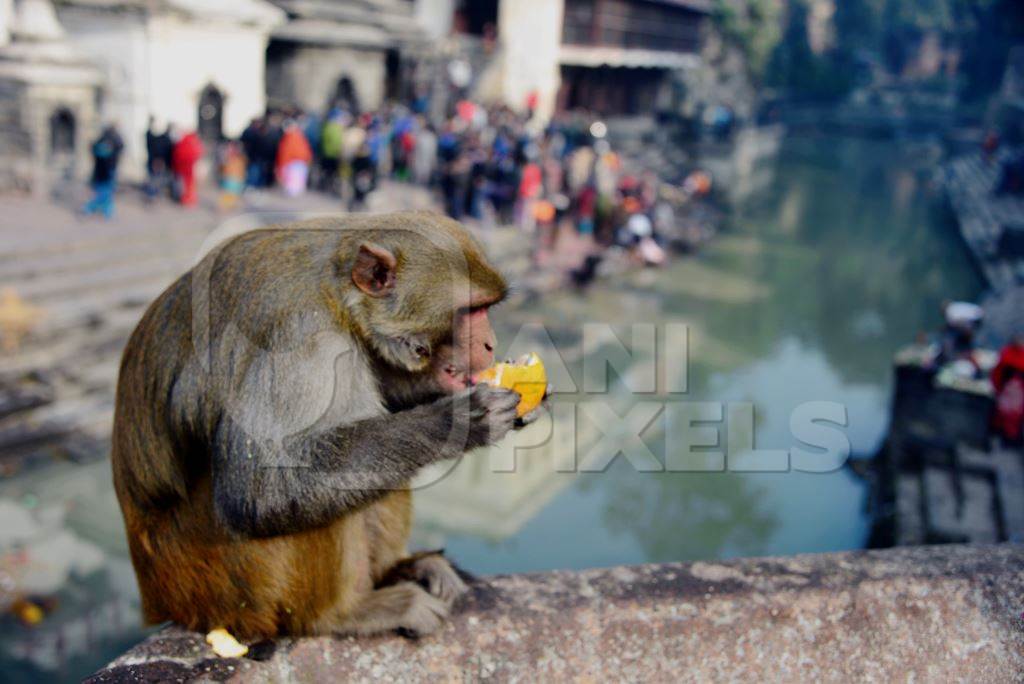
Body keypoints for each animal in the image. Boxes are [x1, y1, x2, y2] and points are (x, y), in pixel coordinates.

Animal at [113, 210, 528, 638]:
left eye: (486, 308)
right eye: (470, 311)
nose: (491, 344)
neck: (338, 295)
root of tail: (160, 600)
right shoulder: (299, 337)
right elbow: (263, 490)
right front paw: (456, 421)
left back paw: (400, 570)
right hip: (227, 587)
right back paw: (344, 614)